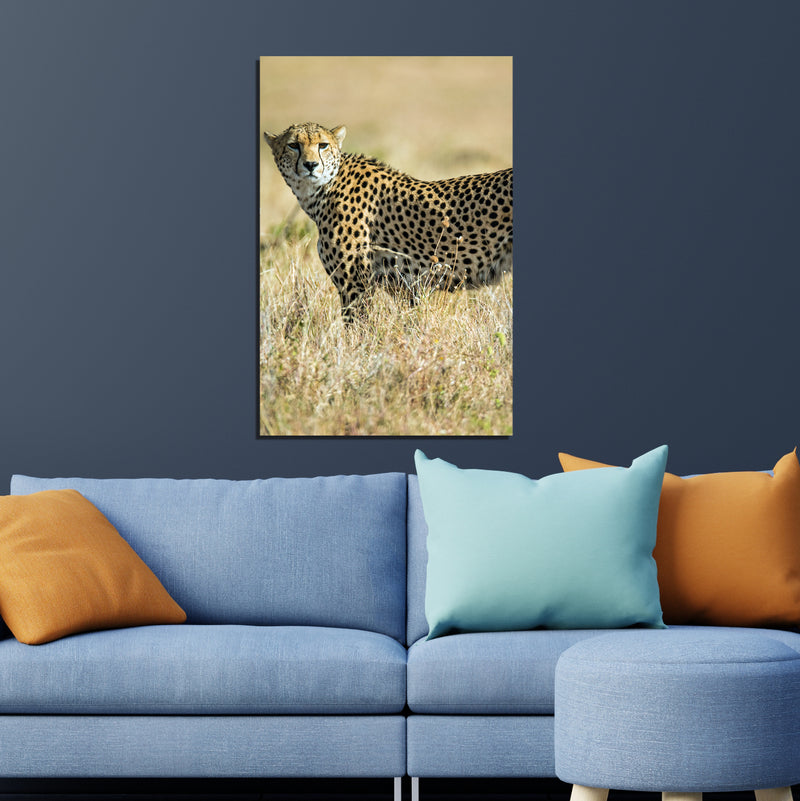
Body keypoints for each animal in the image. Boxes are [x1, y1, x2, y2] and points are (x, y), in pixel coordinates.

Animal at [264, 122, 512, 323]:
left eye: (323, 145)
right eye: (293, 145)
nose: (311, 165)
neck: (322, 189)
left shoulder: (356, 285)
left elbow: (358, 331)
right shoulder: (405, 289)